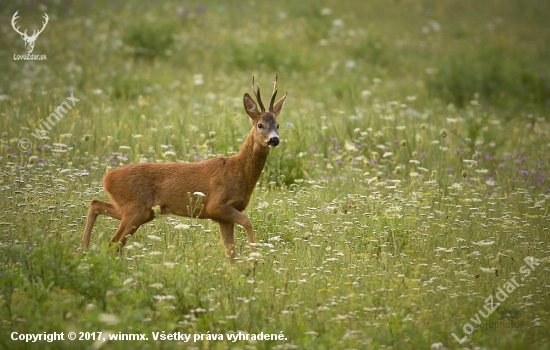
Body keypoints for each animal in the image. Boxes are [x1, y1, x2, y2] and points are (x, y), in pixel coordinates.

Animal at [82, 77, 292, 262]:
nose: (274, 139)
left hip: (137, 210)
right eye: (260, 125)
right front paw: (253, 264)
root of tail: (107, 178)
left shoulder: (223, 217)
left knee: (97, 205)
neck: (238, 170)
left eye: (278, 125)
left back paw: (81, 250)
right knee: (111, 243)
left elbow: (230, 253)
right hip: (136, 208)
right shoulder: (216, 204)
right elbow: (248, 222)